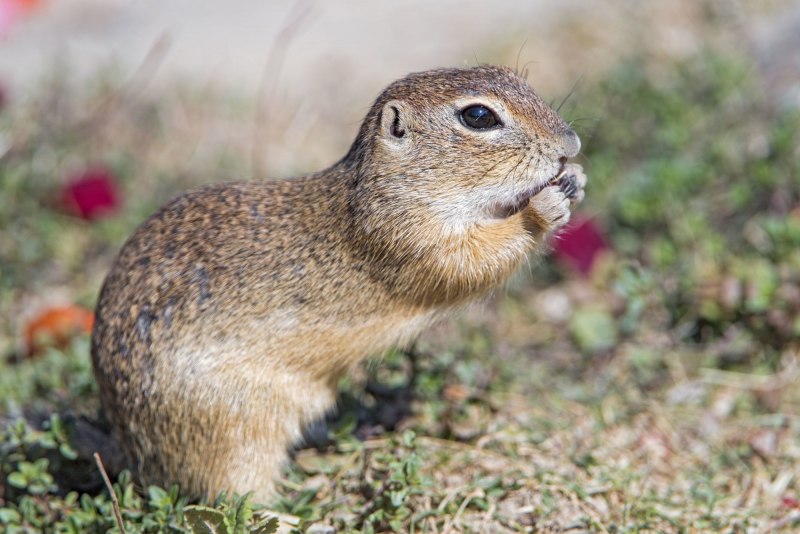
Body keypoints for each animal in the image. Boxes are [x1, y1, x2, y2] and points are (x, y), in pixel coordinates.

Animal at [90, 65, 588, 504]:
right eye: (479, 116)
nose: (572, 143)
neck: (387, 187)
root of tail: (131, 449)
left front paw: (575, 180)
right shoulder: (411, 238)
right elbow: (475, 259)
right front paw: (543, 206)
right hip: (236, 432)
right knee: (228, 495)